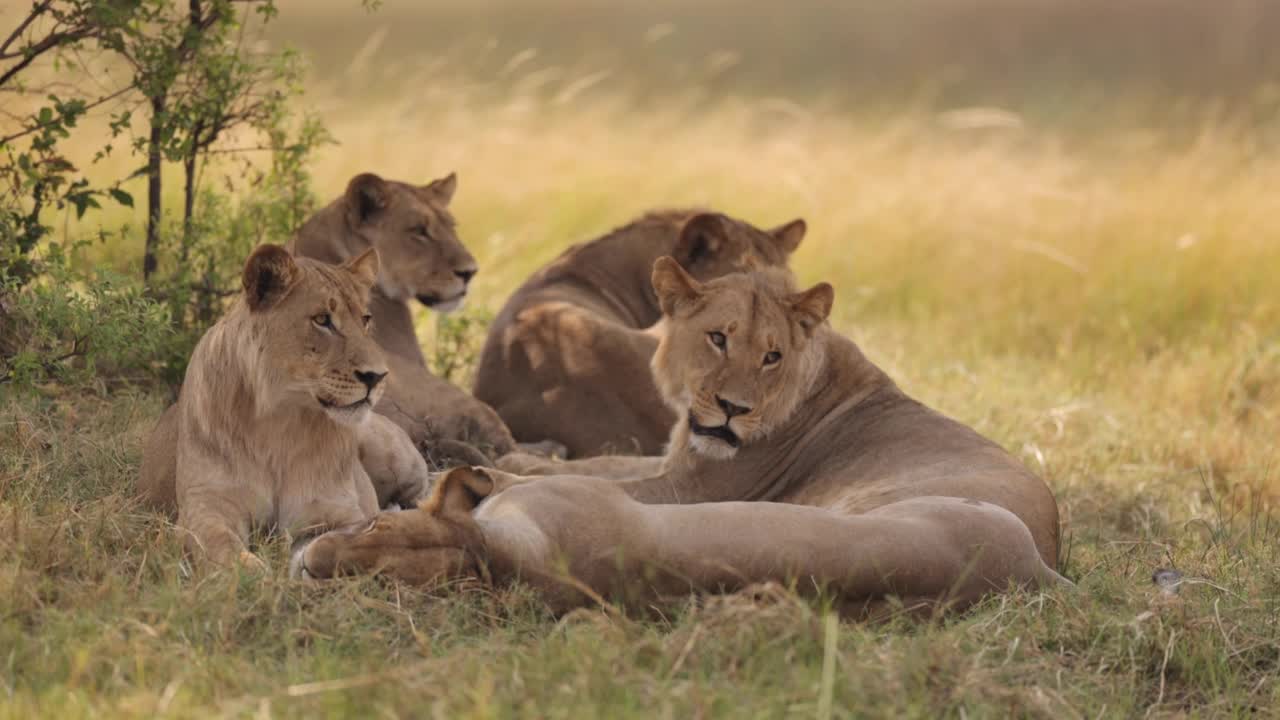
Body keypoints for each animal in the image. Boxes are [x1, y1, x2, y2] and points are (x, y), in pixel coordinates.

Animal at [137, 244, 430, 566]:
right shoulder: (205, 506)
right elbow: (222, 547)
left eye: (365, 319)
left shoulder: (341, 510)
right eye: (322, 320)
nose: (377, 376)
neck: (283, 423)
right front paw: (252, 571)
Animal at [294, 257, 1064, 609]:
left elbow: (544, 474)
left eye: (772, 355)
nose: (732, 409)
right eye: (718, 338)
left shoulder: (677, 491)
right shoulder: (661, 464)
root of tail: (1042, 560)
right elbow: (591, 460)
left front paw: (463, 468)